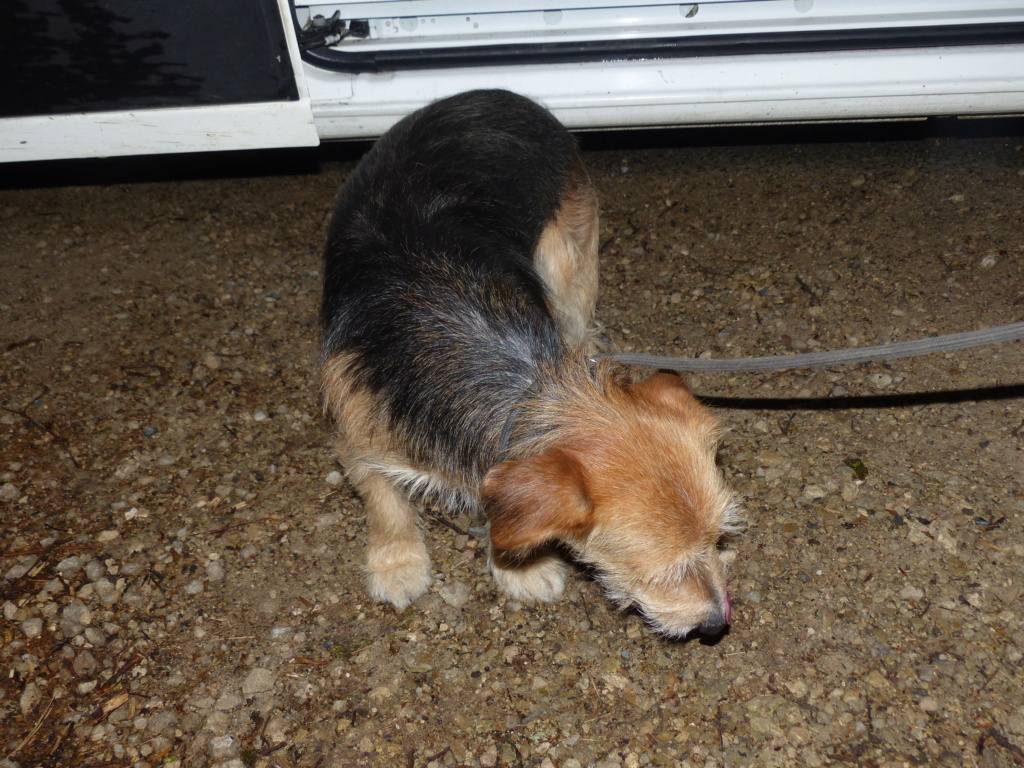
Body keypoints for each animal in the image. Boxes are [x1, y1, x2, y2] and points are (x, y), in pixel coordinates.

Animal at [317, 90, 737, 638]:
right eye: (663, 572)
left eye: (718, 538)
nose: (718, 623)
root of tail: (495, 94)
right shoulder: (355, 432)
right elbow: (384, 503)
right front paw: (397, 562)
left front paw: (518, 567)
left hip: (564, 262)